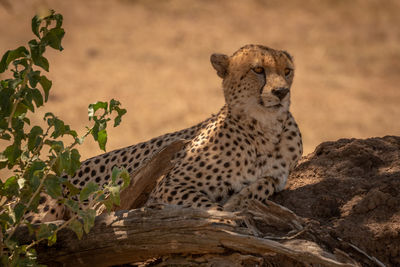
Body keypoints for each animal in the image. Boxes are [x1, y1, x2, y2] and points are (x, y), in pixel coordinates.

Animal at [33, 44, 304, 223]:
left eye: (287, 71)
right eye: (258, 70)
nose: (281, 92)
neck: (264, 131)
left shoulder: (278, 175)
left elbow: (265, 184)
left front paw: (240, 200)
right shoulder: (167, 187)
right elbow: (206, 209)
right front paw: (229, 215)